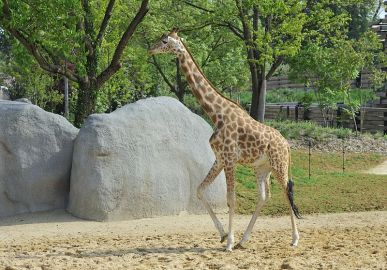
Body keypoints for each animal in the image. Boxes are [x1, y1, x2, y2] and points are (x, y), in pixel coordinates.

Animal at [150, 28, 302, 252]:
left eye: (164, 40)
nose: (150, 49)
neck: (216, 113)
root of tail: (287, 145)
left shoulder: (230, 159)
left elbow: (231, 199)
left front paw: (228, 242)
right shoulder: (220, 159)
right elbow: (200, 190)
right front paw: (223, 235)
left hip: (279, 165)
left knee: (286, 193)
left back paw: (294, 239)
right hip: (262, 167)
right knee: (264, 196)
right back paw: (243, 240)